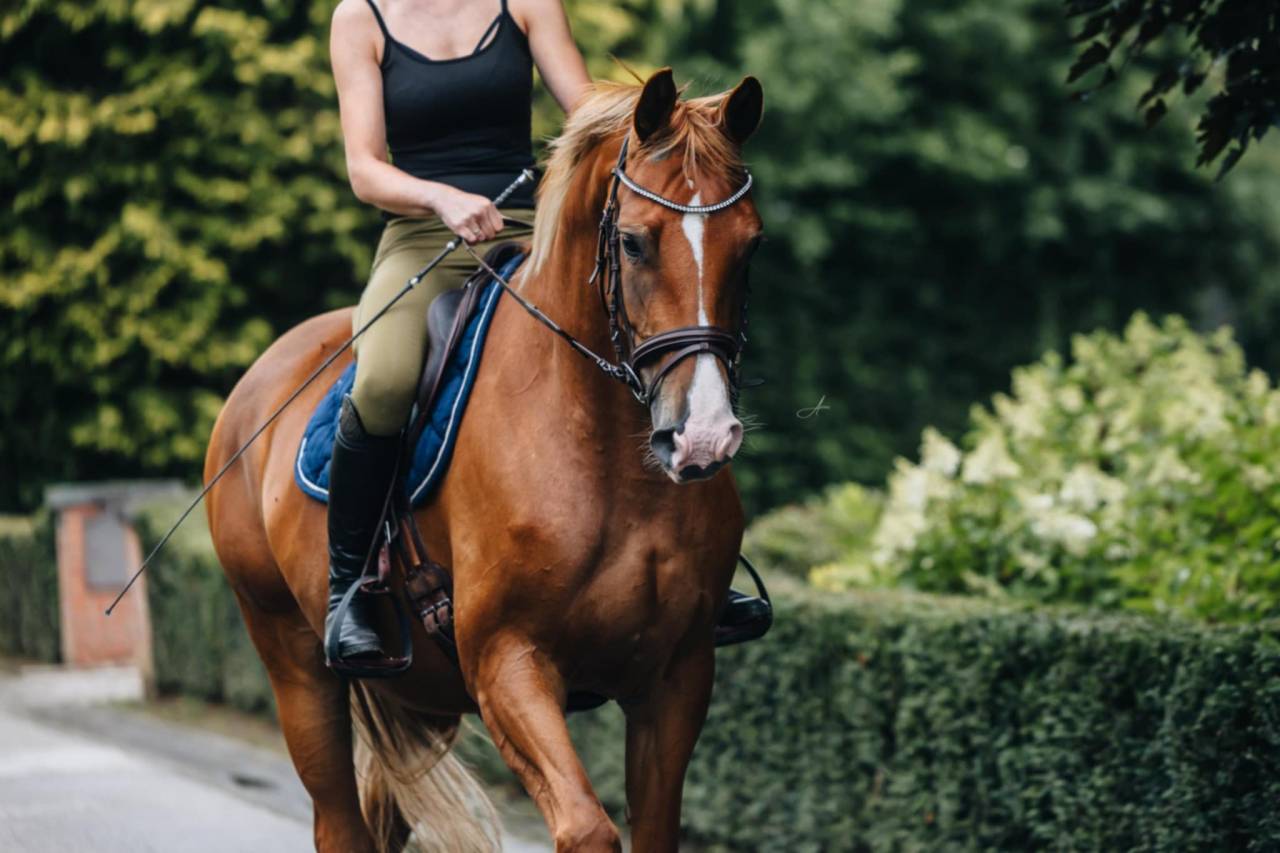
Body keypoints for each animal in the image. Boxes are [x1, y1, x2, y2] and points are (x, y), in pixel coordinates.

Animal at [204, 68, 764, 852]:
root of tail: (255, 387)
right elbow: (587, 829)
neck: (608, 460)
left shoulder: (677, 676)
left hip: (418, 692)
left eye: (750, 246)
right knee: (339, 821)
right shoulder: (508, 661)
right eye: (632, 243)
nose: (704, 436)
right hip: (295, 666)